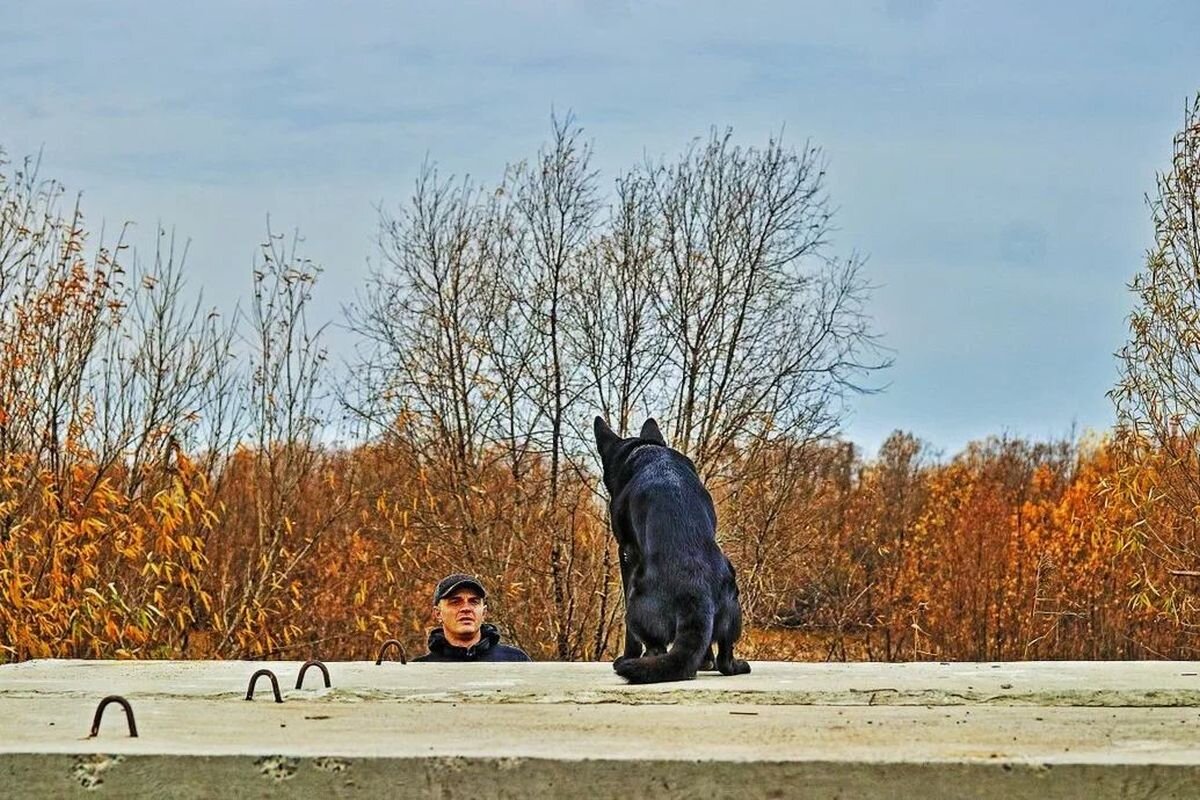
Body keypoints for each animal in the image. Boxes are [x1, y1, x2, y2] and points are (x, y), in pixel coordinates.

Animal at [592, 417, 748, 686]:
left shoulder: (627, 552)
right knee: (724, 658)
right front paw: (704, 661)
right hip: (733, 611)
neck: (647, 450)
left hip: (636, 604)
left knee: (656, 648)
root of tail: (697, 595)